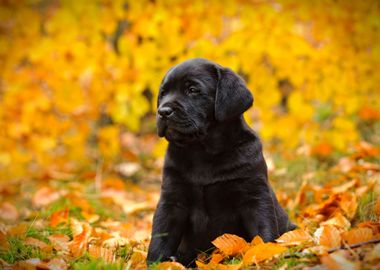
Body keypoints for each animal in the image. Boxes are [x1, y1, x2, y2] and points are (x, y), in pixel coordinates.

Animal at [147, 58, 296, 266]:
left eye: (192, 90)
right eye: (163, 93)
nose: (163, 111)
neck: (202, 151)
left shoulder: (254, 195)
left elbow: (263, 229)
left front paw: (266, 254)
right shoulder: (172, 199)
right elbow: (161, 234)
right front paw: (156, 263)